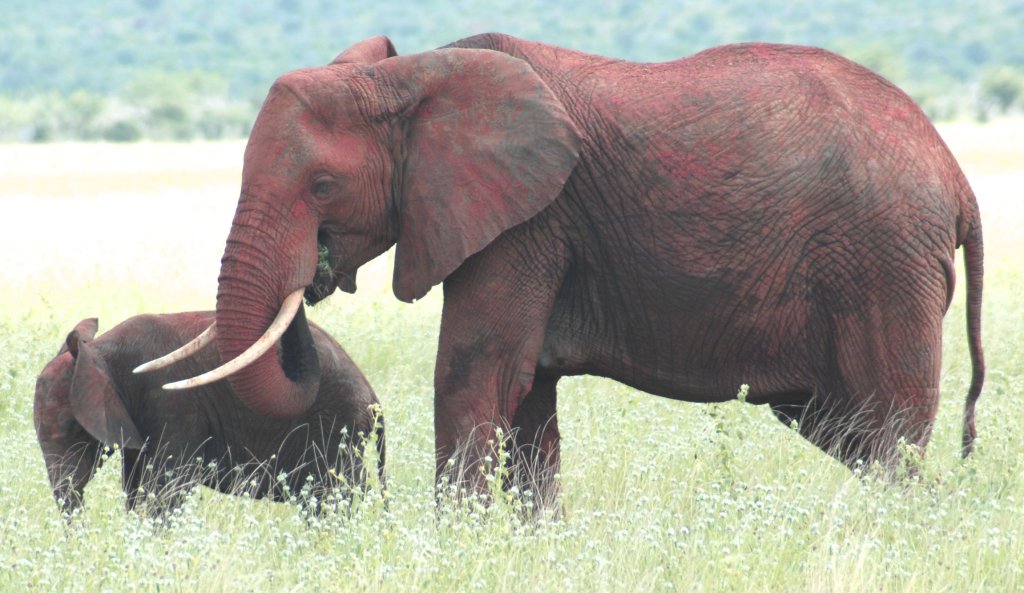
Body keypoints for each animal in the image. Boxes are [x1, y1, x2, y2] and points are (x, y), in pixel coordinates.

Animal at [35, 311, 385, 520]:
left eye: (74, 428)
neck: (99, 353)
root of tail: (372, 396)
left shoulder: (172, 404)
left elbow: (168, 490)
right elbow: (136, 488)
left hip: (337, 426)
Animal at [153, 34, 983, 503]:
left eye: (322, 187)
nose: (316, 273)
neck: (410, 77)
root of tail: (955, 175)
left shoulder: (527, 221)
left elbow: (471, 377)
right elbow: (525, 403)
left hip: (883, 262)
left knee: (889, 425)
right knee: (850, 429)